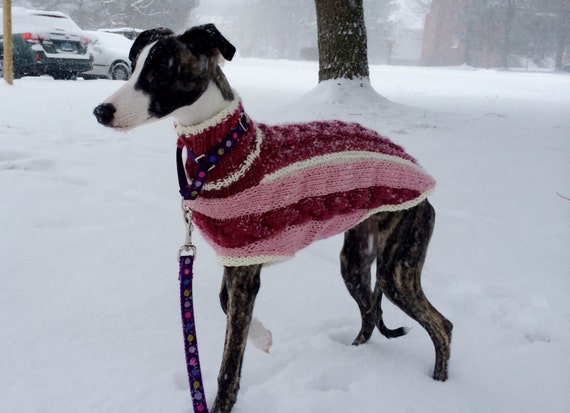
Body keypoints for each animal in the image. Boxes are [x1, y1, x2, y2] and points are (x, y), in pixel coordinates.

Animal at [93, 25, 450, 412]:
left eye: (160, 69)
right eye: (132, 66)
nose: (100, 111)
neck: (223, 151)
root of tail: (420, 173)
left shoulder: (246, 269)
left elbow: (229, 363)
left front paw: (223, 401)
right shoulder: (235, 258)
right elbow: (225, 304)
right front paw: (262, 336)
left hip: (397, 269)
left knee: (441, 325)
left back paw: (440, 385)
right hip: (355, 259)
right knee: (371, 310)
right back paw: (355, 355)